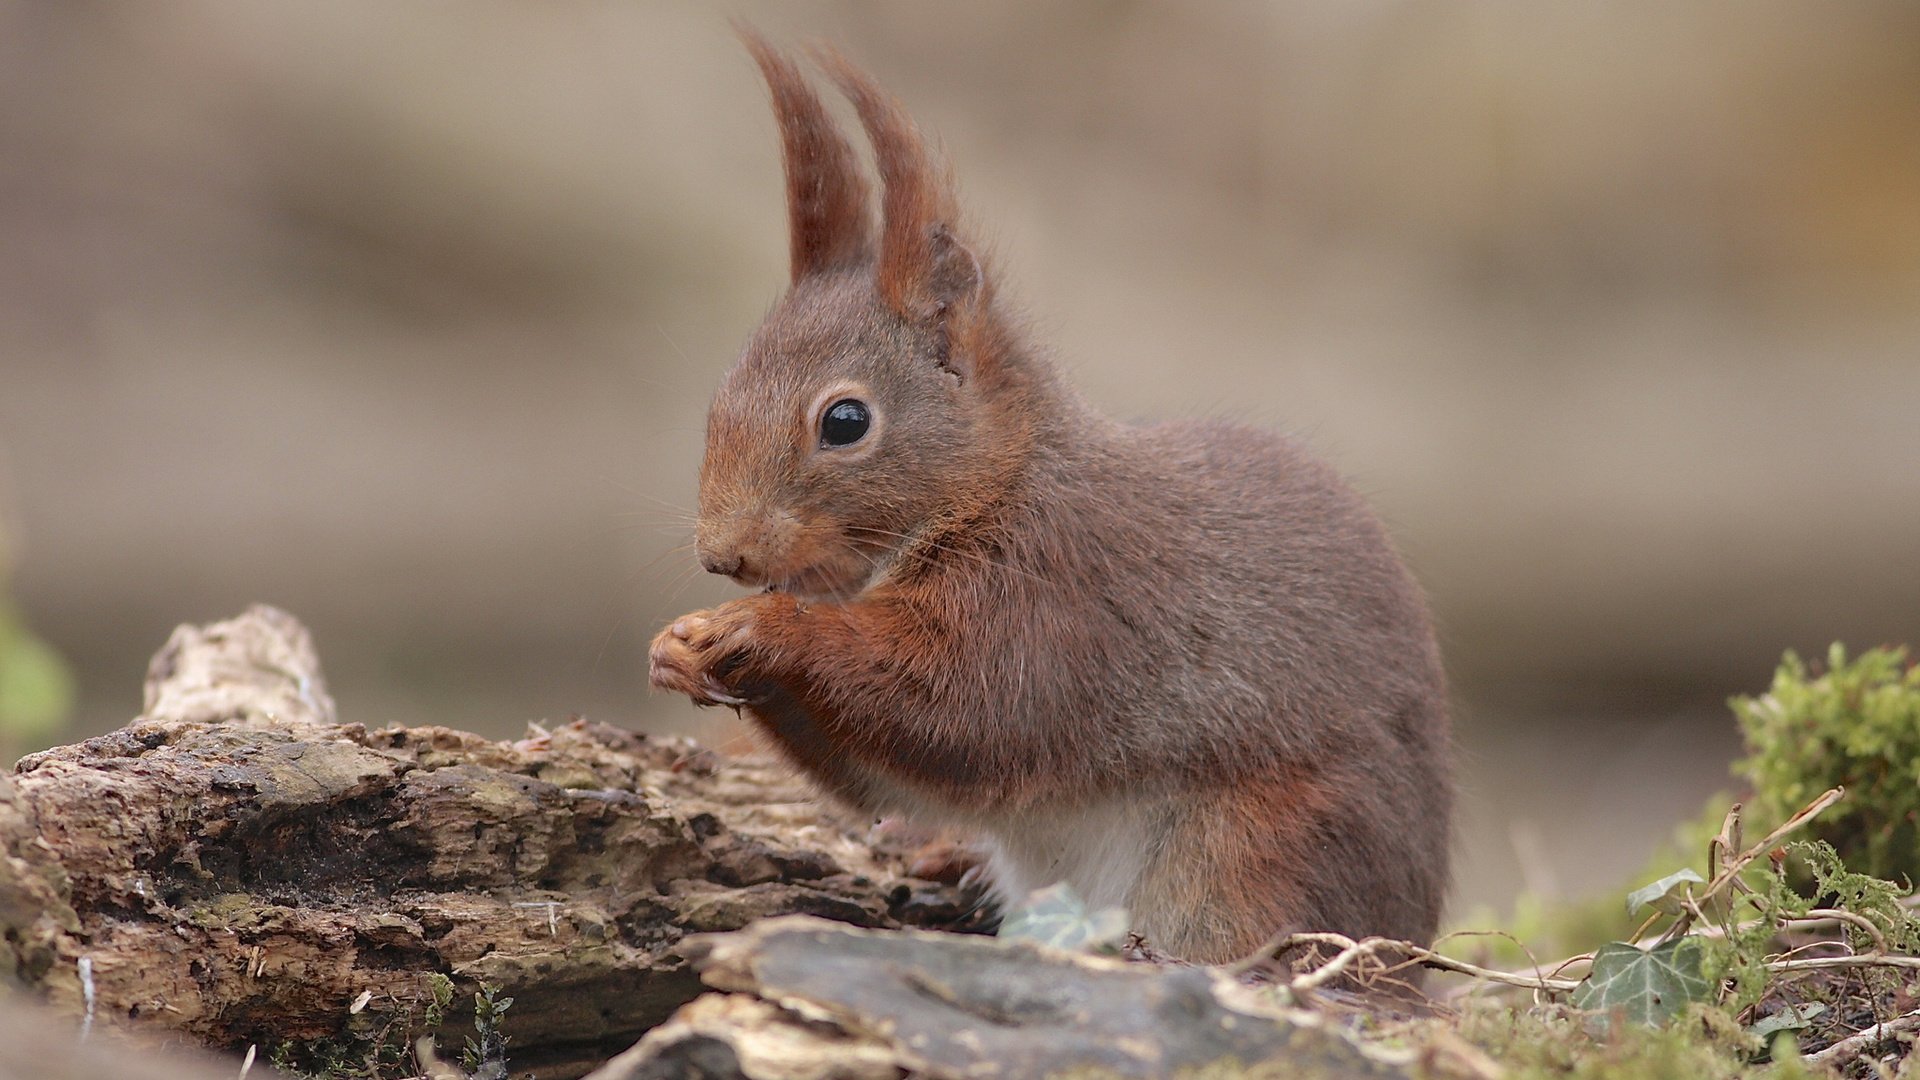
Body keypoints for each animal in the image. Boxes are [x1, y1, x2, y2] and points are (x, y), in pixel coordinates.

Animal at [652, 31, 1443, 957]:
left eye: (845, 421)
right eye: (722, 394)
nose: (723, 554)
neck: (1000, 483)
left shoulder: (1063, 595)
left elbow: (957, 710)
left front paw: (762, 628)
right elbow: (888, 777)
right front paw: (675, 647)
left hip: (1256, 855)